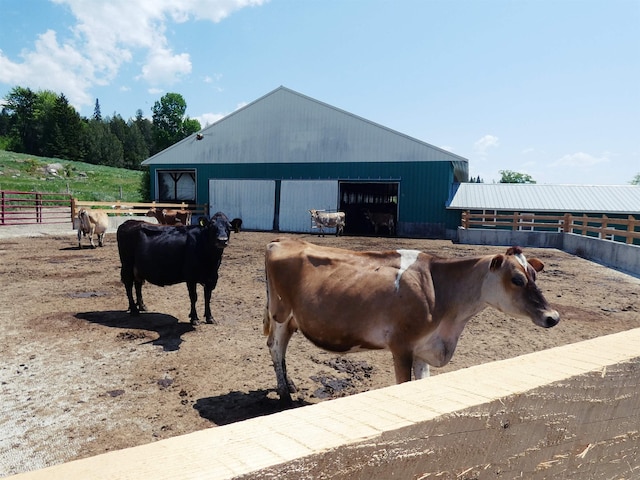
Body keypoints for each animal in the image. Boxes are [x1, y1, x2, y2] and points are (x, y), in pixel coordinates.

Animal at [262, 239, 556, 402]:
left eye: (534, 275)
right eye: (516, 279)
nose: (553, 316)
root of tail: (281, 241)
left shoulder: (424, 348)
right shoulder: (401, 346)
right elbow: (403, 384)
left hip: (292, 318)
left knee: (281, 347)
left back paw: (289, 384)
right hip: (280, 313)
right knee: (275, 347)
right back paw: (285, 396)